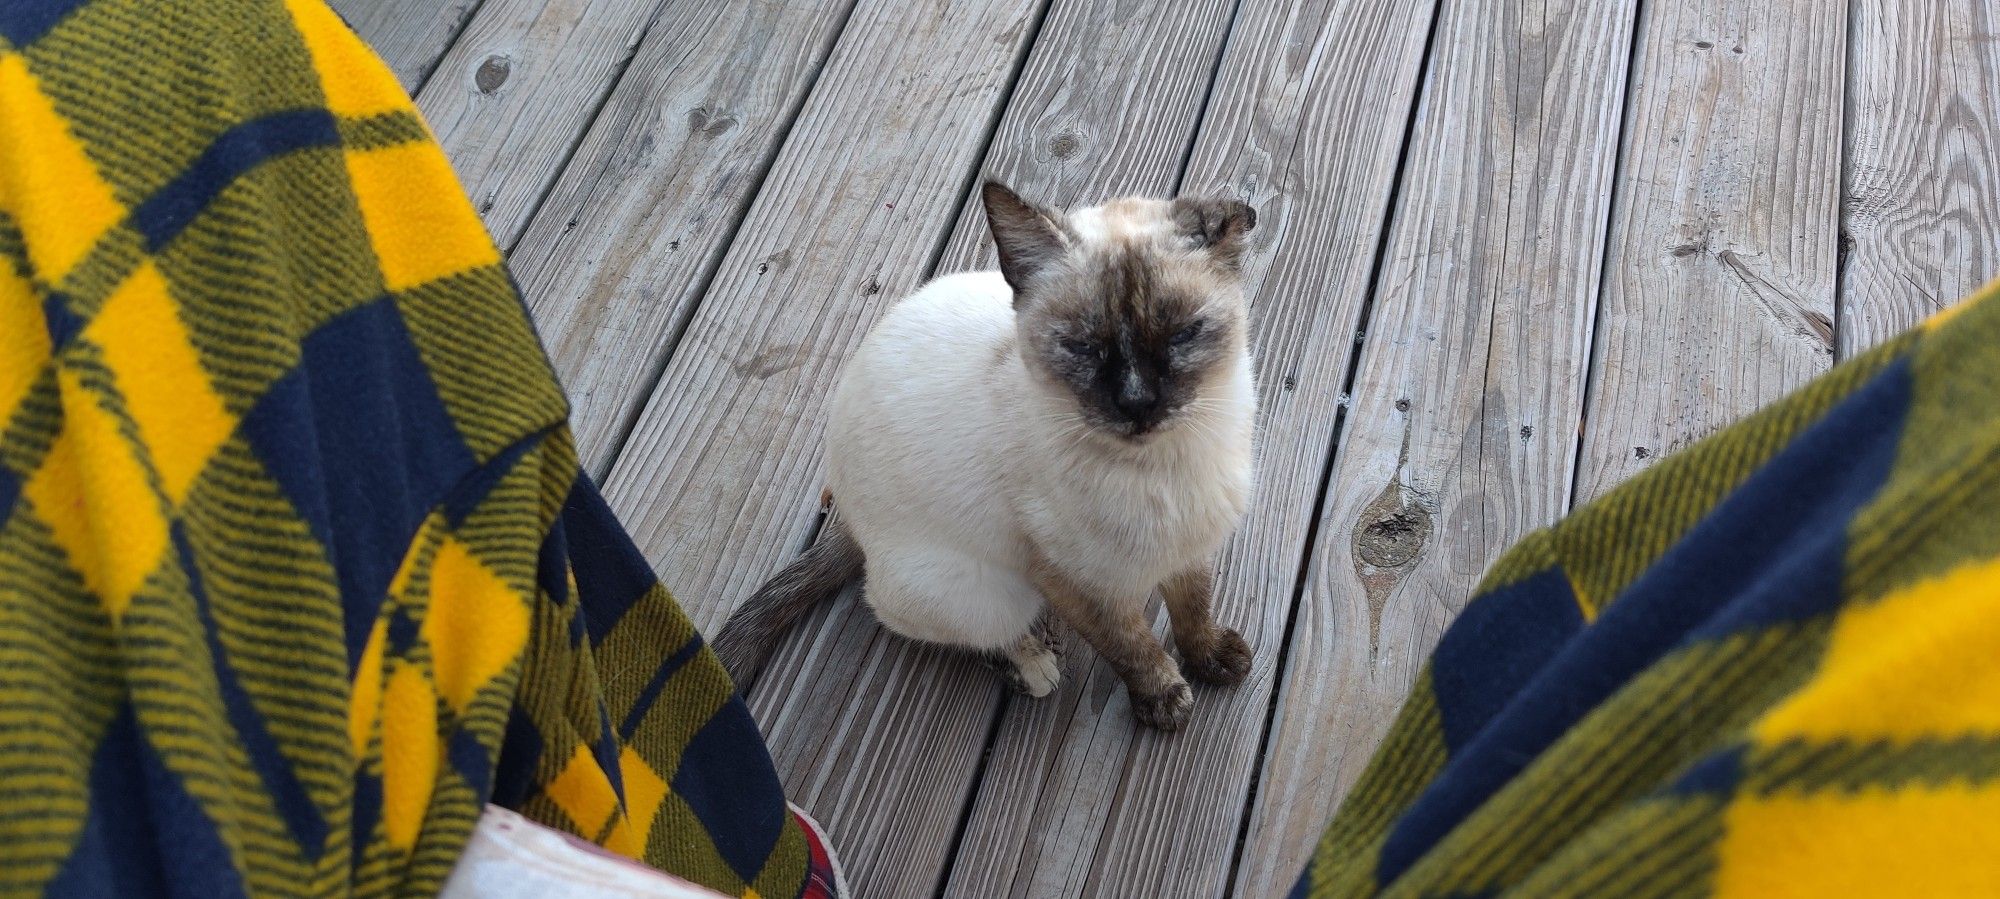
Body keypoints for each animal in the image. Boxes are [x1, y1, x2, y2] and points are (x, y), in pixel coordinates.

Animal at [712, 182, 1256, 731]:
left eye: (1183, 335)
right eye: (1082, 348)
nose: (1137, 403)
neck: (1169, 463)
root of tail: (849, 522)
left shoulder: (1191, 546)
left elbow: (1193, 609)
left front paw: (1212, 659)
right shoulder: (1076, 582)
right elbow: (1131, 646)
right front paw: (1164, 698)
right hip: (987, 592)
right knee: (934, 622)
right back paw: (1034, 666)